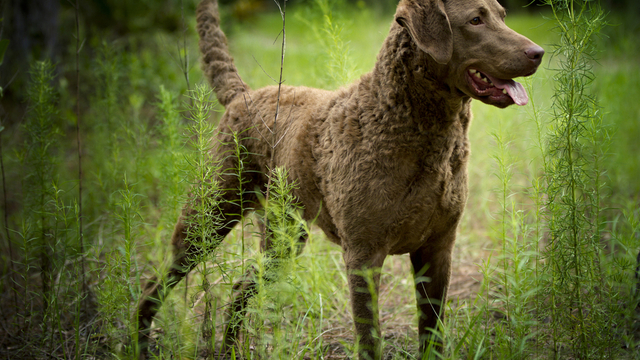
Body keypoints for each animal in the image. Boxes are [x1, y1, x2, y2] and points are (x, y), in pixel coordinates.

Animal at [136, 0, 544, 358]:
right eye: (475, 19)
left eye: (502, 15)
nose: (538, 52)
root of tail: (244, 95)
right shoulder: (363, 255)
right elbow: (370, 340)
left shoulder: (438, 249)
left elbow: (433, 334)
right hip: (210, 215)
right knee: (153, 288)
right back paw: (138, 344)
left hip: (284, 237)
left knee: (239, 290)